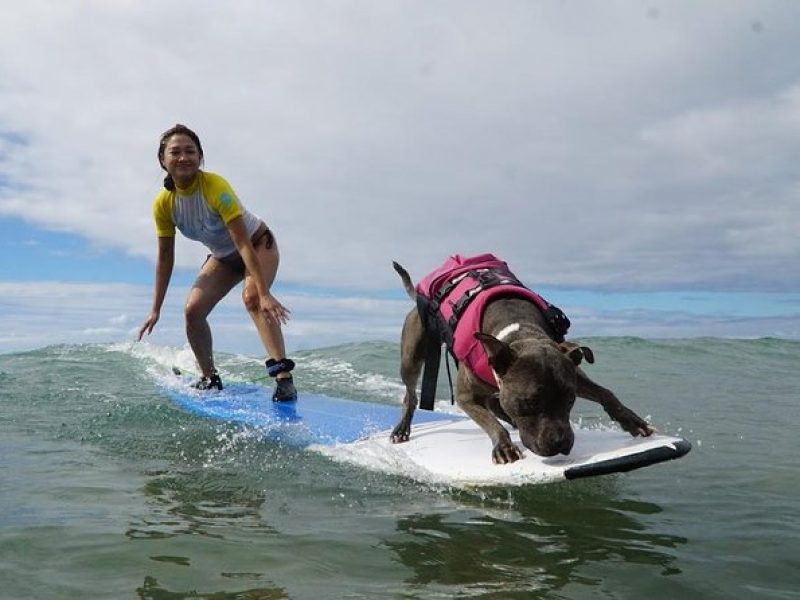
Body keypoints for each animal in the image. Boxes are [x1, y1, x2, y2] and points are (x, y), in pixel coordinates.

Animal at [390, 256, 652, 464]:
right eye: (529, 402)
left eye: (570, 400)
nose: (559, 443)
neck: (520, 331)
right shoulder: (466, 397)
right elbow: (490, 422)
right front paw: (504, 446)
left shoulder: (572, 371)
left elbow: (606, 393)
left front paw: (632, 421)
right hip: (411, 357)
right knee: (411, 395)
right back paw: (402, 428)